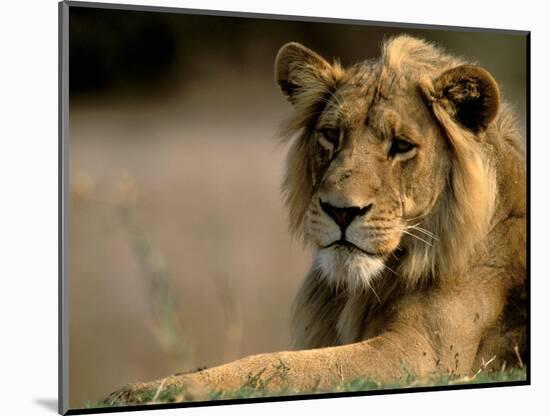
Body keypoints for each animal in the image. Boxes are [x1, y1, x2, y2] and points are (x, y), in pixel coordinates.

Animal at [105, 35, 528, 406]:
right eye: (330, 135)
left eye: (402, 146)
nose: (341, 211)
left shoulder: (426, 354)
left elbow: (278, 368)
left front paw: (150, 391)